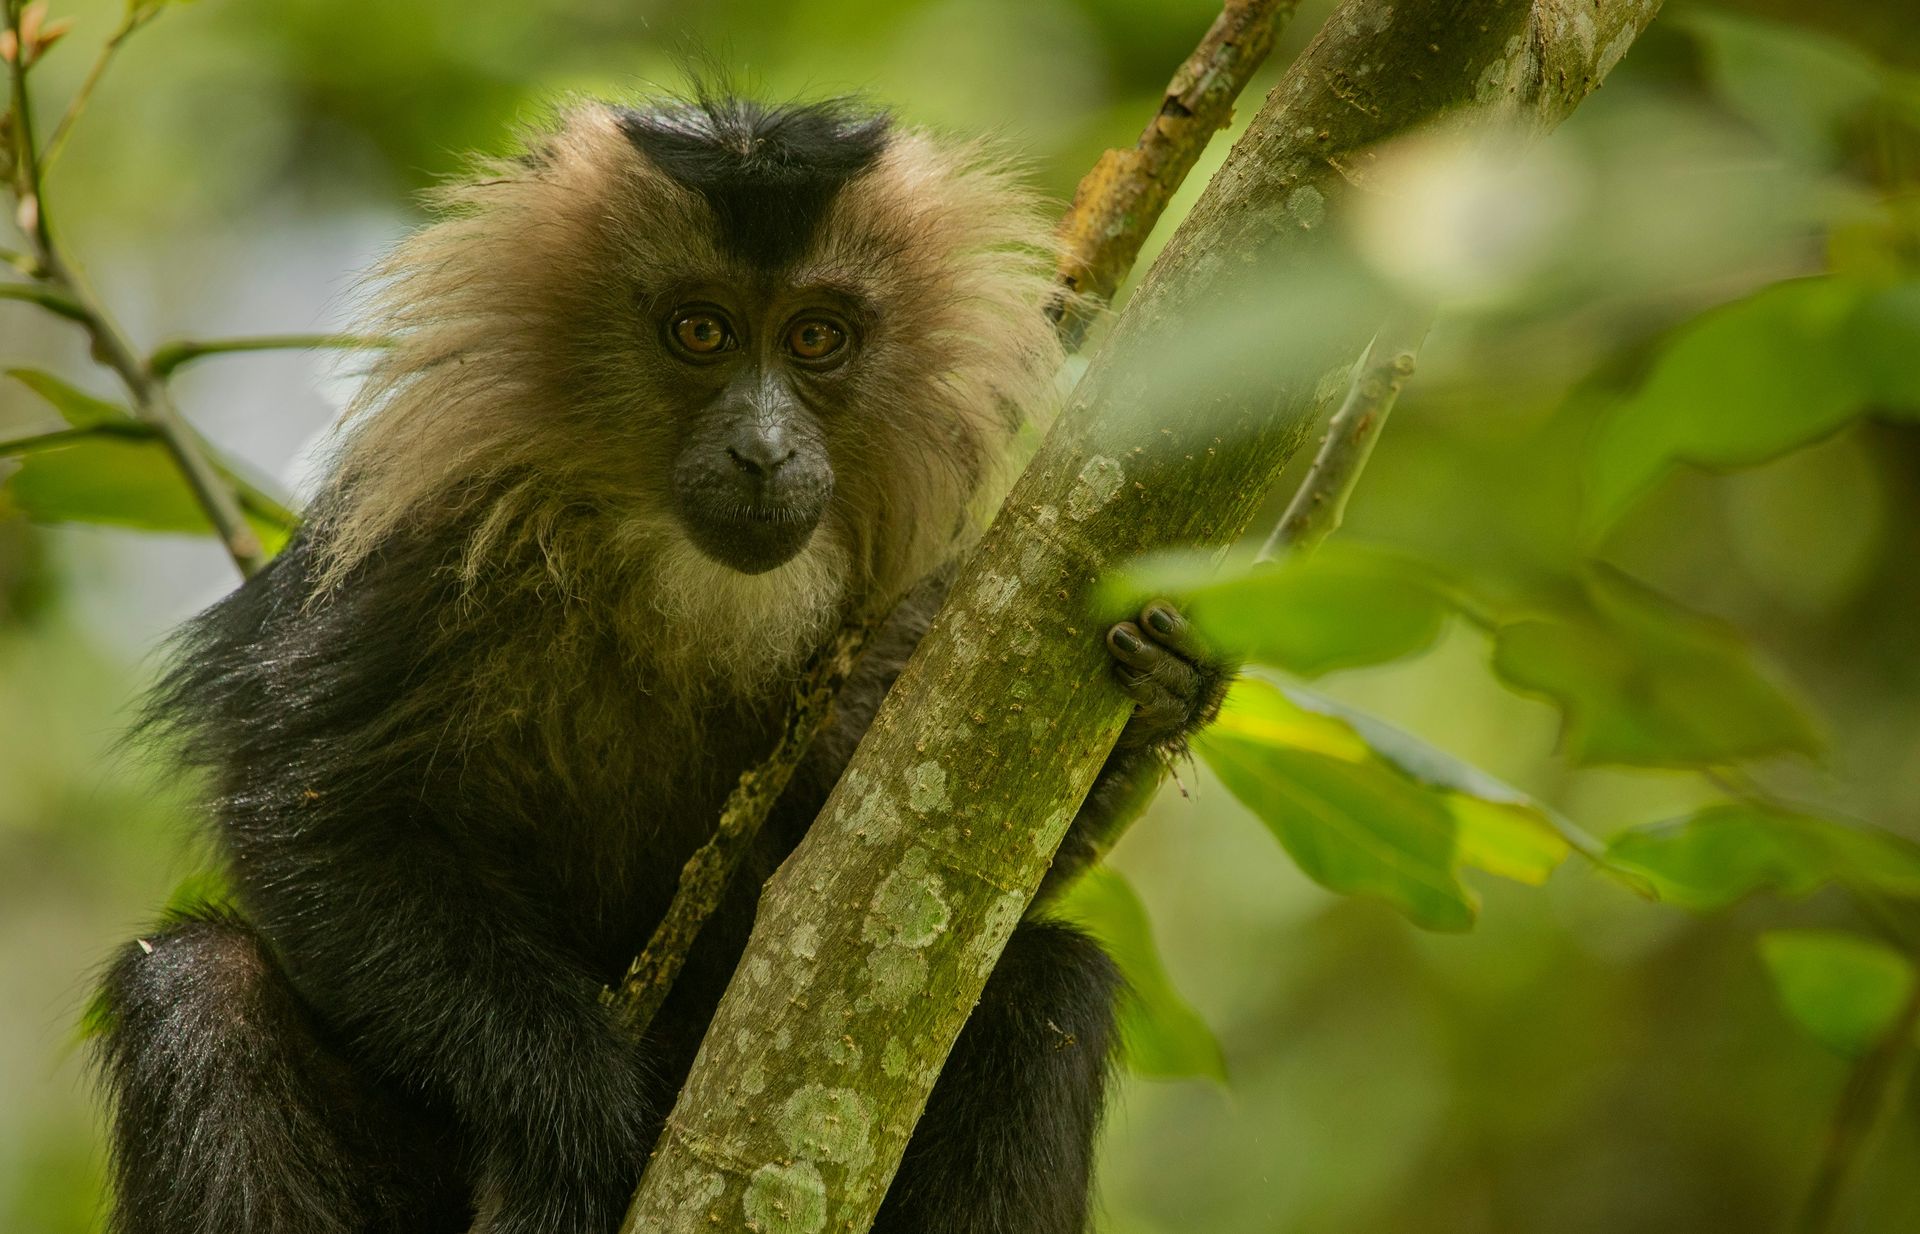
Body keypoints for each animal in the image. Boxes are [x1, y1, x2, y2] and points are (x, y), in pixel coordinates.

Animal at [91, 93, 1229, 1234]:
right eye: (701, 330)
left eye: (817, 337)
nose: (764, 453)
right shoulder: (422, 545)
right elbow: (314, 821)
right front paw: (570, 1103)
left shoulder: (894, 615)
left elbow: (917, 863)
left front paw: (1163, 692)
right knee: (200, 987)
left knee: (1044, 989)